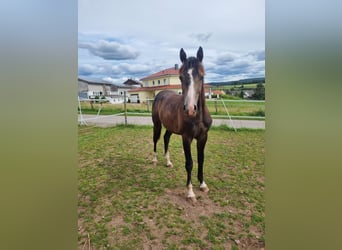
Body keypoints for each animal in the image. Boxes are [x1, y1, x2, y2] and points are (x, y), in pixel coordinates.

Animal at [152, 47, 211, 201]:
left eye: (201, 76)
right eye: (180, 77)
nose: (190, 109)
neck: (197, 117)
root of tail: (160, 94)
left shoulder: (203, 137)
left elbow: (201, 159)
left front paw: (202, 184)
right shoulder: (186, 138)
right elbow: (189, 163)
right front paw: (190, 192)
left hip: (170, 127)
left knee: (166, 138)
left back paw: (168, 162)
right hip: (157, 124)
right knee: (155, 139)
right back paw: (154, 160)